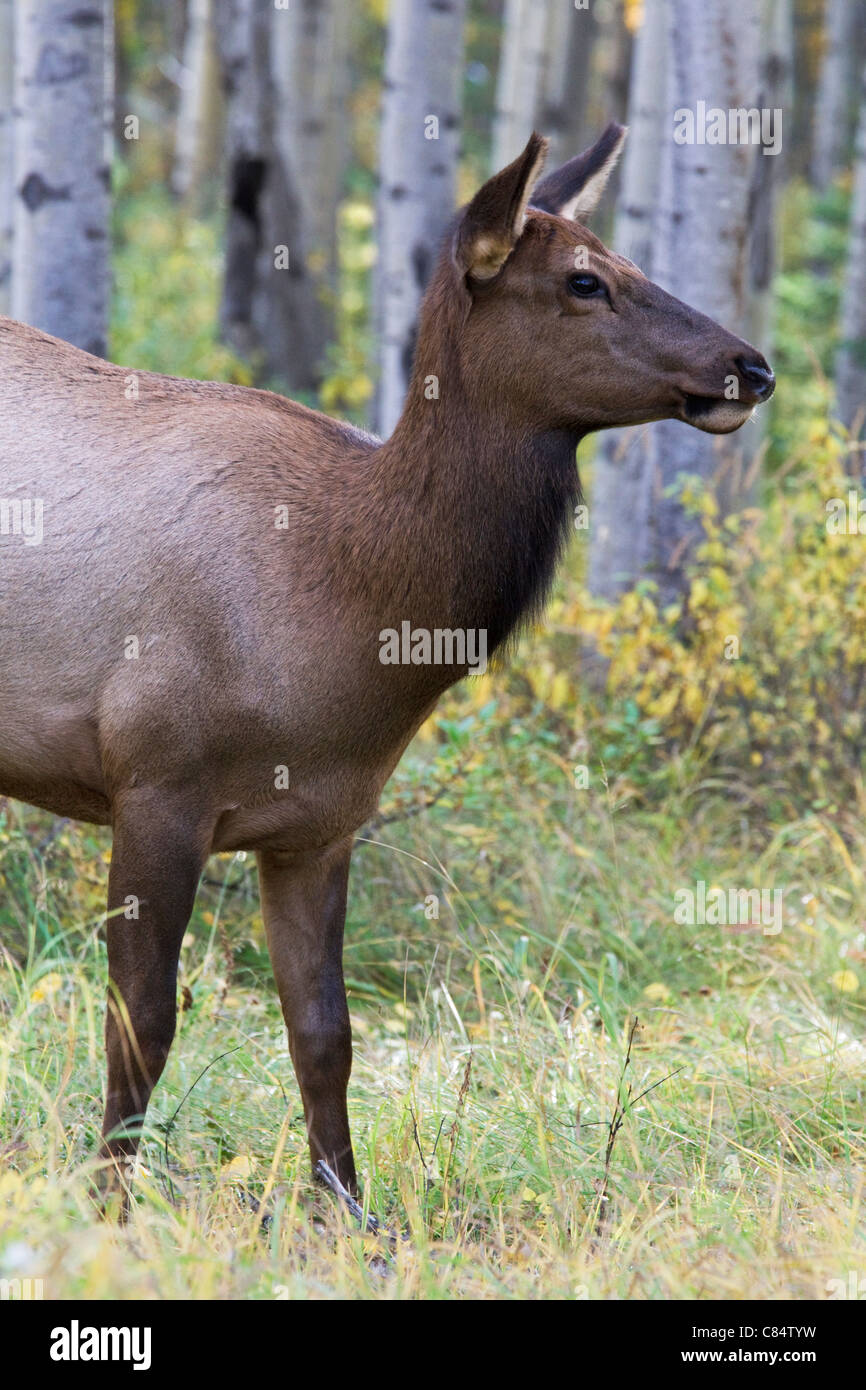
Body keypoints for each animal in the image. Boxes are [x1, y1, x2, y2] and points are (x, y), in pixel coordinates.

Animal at [0, 127, 772, 1206]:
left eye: (622, 256)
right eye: (585, 280)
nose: (751, 365)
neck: (350, 601)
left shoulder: (321, 825)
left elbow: (326, 1035)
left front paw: (347, 1211)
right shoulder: (153, 779)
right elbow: (140, 1024)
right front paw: (107, 1205)